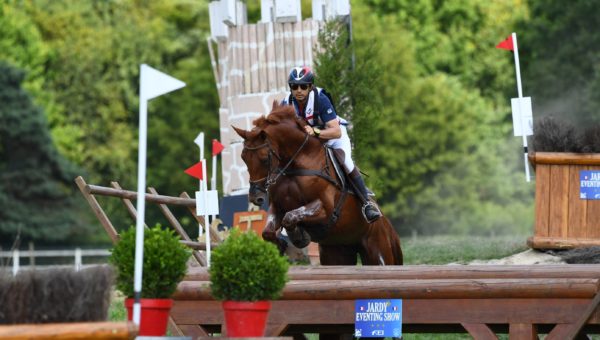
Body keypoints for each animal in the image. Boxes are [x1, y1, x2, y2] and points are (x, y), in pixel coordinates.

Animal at [233, 101, 404, 266]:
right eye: (243, 158)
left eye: (264, 159)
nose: (255, 197)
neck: (298, 162)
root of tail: (387, 225)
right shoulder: (277, 207)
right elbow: (268, 231)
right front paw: (283, 243)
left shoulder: (326, 209)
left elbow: (291, 216)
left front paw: (299, 237)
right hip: (336, 254)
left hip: (378, 254)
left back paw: (371, 210)